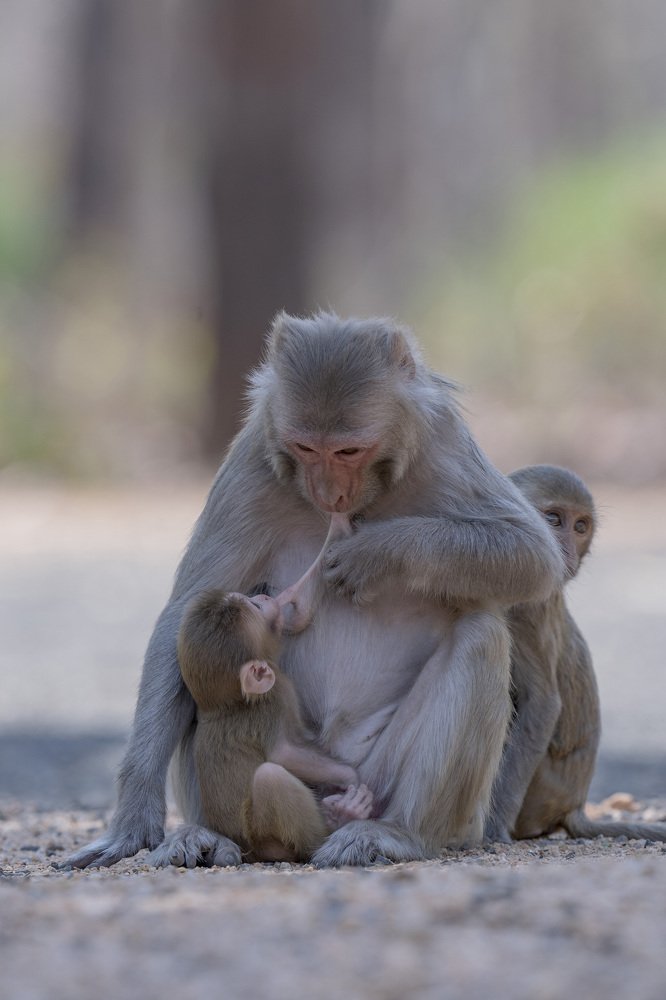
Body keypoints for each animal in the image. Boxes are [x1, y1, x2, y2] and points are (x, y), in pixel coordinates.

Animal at [177, 587, 374, 862]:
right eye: (256, 608)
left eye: (251, 601)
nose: (263, 597)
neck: (228, 703)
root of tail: (250, 852)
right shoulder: (277, 697)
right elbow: (284, 753)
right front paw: (349, 776)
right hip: (263, 836)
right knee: (270, 778)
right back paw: (339, 821)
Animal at [486, 464, 666, 843]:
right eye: (554, 519)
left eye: (580, 527)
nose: (565, 551)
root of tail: (574, 804)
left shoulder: (531, 606)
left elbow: (542, 705)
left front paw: (492, 826)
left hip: (541, 791)